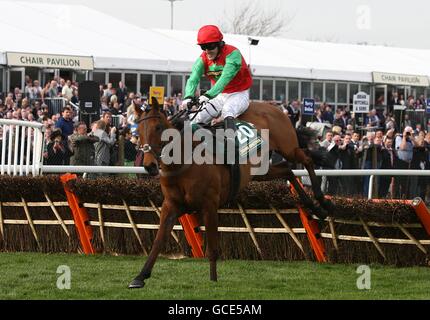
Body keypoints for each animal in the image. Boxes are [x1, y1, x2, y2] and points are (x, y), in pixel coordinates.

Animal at [129, 97, 334, 288]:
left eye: (158, 127)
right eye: (137, 131)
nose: (149, 166)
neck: (183, 162)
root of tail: (274, 107)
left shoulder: (209, 204)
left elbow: (212, 246)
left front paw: (213, 281)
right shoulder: (171, 205)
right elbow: (158, 241)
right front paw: (139, 277)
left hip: (288, 147)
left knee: (306, 159)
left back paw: (323, 204)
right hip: (259, 171)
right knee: (287, 170)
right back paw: (315, 208)